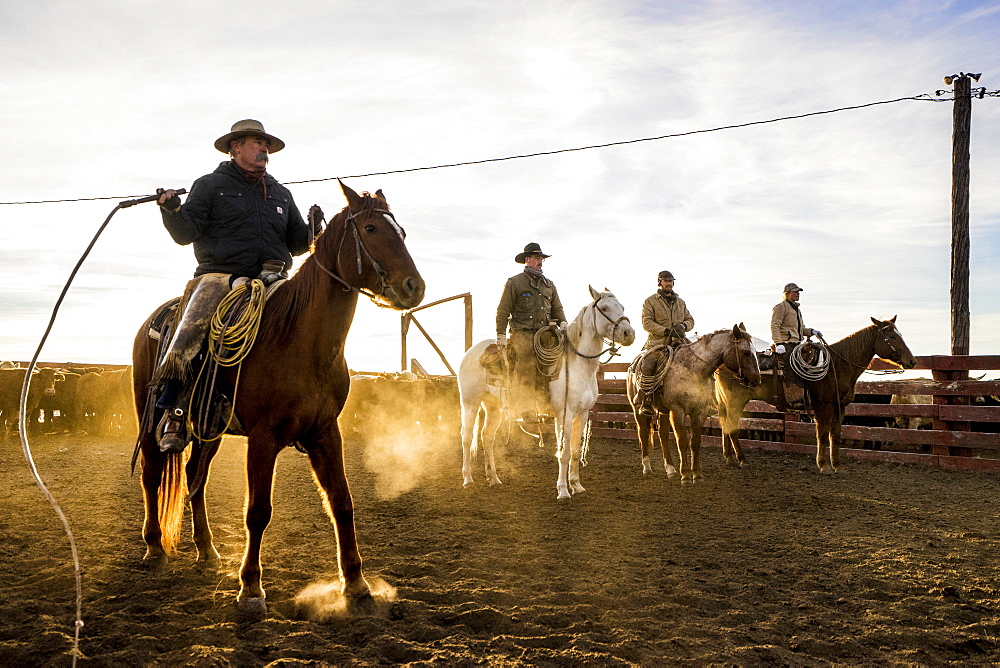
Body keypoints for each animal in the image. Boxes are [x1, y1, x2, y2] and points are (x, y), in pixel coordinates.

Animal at [132, 183, 422, 616]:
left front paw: (356, 584)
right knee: (152, 474)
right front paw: (251, 588)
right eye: (370, 228)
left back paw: (206, 549)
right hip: (149, 415)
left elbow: (342, 502)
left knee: (195, 476)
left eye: (400, 232)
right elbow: (258, 512)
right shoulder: (263, 438)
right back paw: (154, 548)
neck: (299, 339)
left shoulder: (325, 432)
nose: (414, 287)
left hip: (209, 427)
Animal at [458, 284, 636, 498]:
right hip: (470, 403)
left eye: (623, 307)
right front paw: (563, 490)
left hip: (493, 406)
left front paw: (576, 485)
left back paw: (493, 478)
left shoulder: (583, 414)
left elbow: (575, 450)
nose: (629, 334)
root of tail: (471, 352)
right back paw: (467, 479)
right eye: (605, 308)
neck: (578, 365)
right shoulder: (564, 414)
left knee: (487, 437)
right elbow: (564, 452)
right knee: (467, 437)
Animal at [716, 316, 916, 472]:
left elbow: (835, 434)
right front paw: (824, 465)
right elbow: (822, 434)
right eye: (891, 336)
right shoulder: (823, 406)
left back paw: (729, 458)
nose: (912, 361)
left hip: (727, 402)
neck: (837, 365)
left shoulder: (839, 407)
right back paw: (742, 460)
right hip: (736, 400)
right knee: (732, 427)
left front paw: (837, 465)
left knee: (726, 425)